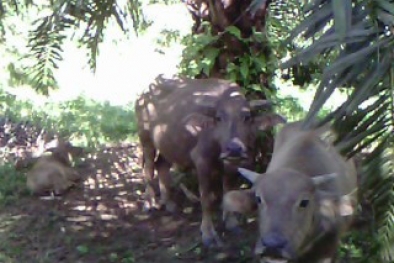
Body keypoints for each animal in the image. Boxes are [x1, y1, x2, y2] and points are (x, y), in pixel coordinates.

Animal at [135, 76, 286, 248]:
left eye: (246, 117)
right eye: (219, 118)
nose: (234, 149)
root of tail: (144, 94)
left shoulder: (234, 165)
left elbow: (228, 191)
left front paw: (231, 222)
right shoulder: (202, 161)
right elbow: (206, 199)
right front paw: (208, 233)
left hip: (168, 144)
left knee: (161, 165)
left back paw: (169, 203)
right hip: (146, 139)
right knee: (148, 168)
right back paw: (149, 203)